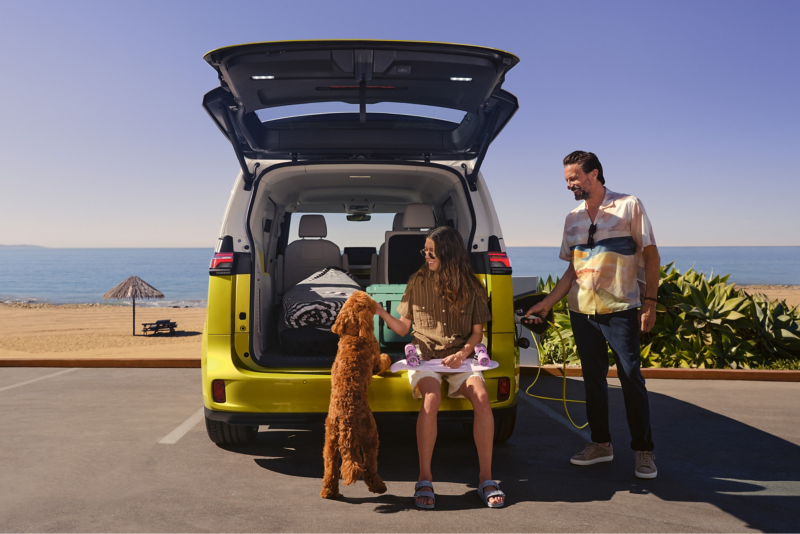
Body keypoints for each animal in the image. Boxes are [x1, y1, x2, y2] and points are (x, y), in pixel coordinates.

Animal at [320, 292, 392, 500]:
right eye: (368, 303)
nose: (376, 302)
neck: (353, 335)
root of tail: (345, 424)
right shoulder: (375, 360)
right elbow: (383, 360)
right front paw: (388, 359)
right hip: (370, 433)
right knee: (368, 465)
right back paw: (378, 486)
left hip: (330, 442)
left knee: (330, 468)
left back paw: (329, 492)